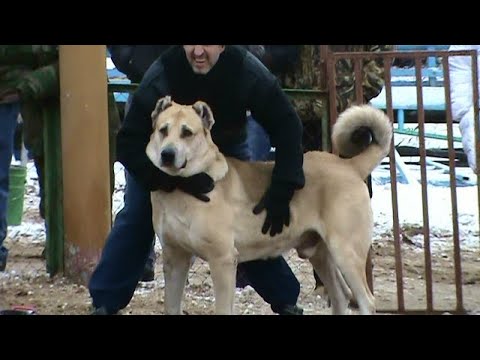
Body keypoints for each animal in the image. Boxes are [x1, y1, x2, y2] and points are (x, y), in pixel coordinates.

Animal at [147, 96, 394, 316]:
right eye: (163, 130)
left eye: (187, 133)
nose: (167, 154)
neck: (182, 186)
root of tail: (349, 166)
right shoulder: (175, 258)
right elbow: (171, 307)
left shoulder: (222, 259)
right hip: (320, 253)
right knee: (341, 296)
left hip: (346, 252)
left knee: (366, 301)